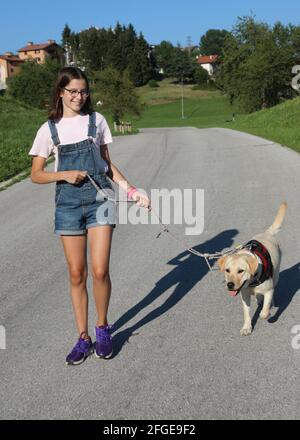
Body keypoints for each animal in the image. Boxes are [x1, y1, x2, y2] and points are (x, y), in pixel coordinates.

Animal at [219, 204, 288, 336]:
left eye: (241, 271)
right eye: (227, 270)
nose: (230, 285)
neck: (252, 282)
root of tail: (267, 233)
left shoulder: (268, 290)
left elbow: (264, 311)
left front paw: (265, 313)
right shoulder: (244, 295)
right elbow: (246, 313)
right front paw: (246, 327)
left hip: (276, 275)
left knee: (273, 289)